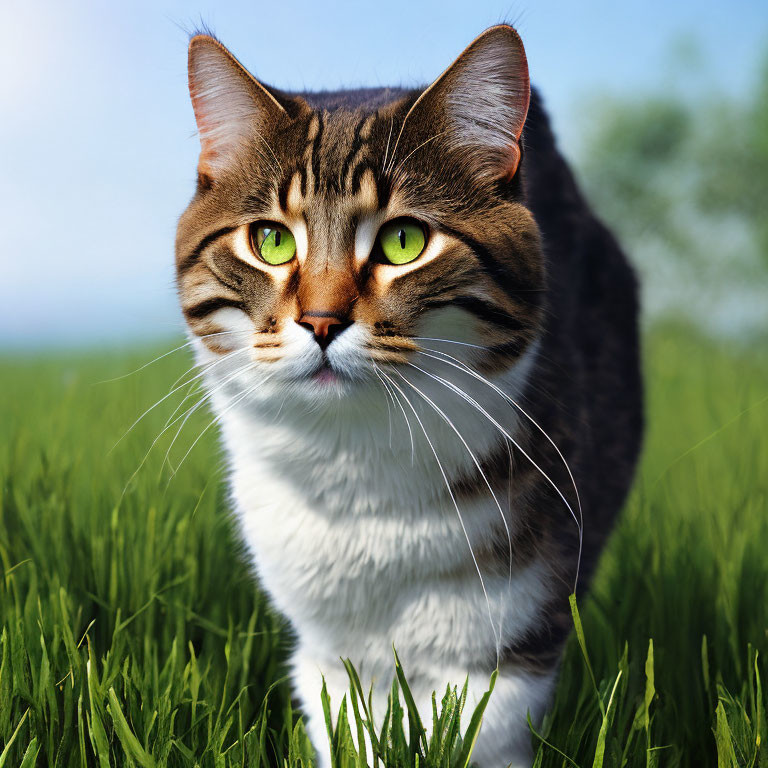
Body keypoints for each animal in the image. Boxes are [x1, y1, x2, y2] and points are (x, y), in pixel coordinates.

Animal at [174, 24, 640, 768]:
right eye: (270, 239)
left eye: (403, 240)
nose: (321, 322)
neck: (357, 470)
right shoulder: (328, 653)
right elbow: (349, 729)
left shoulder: (506, 646)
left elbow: (475, 734)